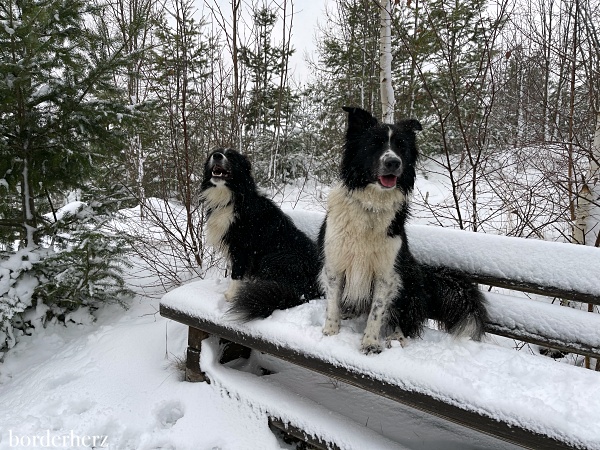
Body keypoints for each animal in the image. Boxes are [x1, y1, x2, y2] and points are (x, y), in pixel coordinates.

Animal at [200, 148, 324, 320]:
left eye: (231, 156)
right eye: (215, 152)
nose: (217, 156)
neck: (231, 197)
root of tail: (312, 287)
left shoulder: (241, 247)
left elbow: (236, 273)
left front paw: (231, 295)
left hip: (275, 258)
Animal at [318, 108, 488, 356]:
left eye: (401, 146)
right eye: (375, 144)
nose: (393, 162)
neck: (371, 206)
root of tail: (425, 276)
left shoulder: (386, 273)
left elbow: (377, 311)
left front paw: (370, 342)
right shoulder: (335, 264)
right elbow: (332, 303)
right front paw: (331, 332)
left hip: (409, 280)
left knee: (405, 319)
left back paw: (396, 337)